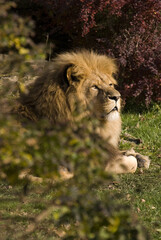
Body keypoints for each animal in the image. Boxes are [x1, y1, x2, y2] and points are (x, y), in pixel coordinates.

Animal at [15, 50, 150, 174]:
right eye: (94, 87)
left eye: (110, 84)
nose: (117, 97)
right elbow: (131, 163)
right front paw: (134, 158)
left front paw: (140, 156)